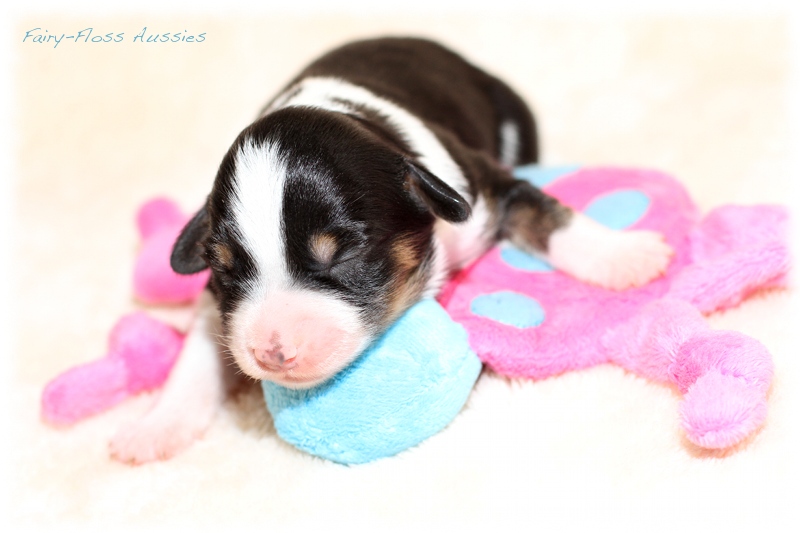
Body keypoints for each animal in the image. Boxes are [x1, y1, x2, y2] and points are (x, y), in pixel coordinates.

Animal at [109, 37, 672, 464]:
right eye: (227, 270)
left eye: (342, 256)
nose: (271, 352)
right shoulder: (215, 301)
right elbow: (198, 357)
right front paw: (154, 428)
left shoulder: (488, 187)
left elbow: (549, 215)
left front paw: (627, 256)